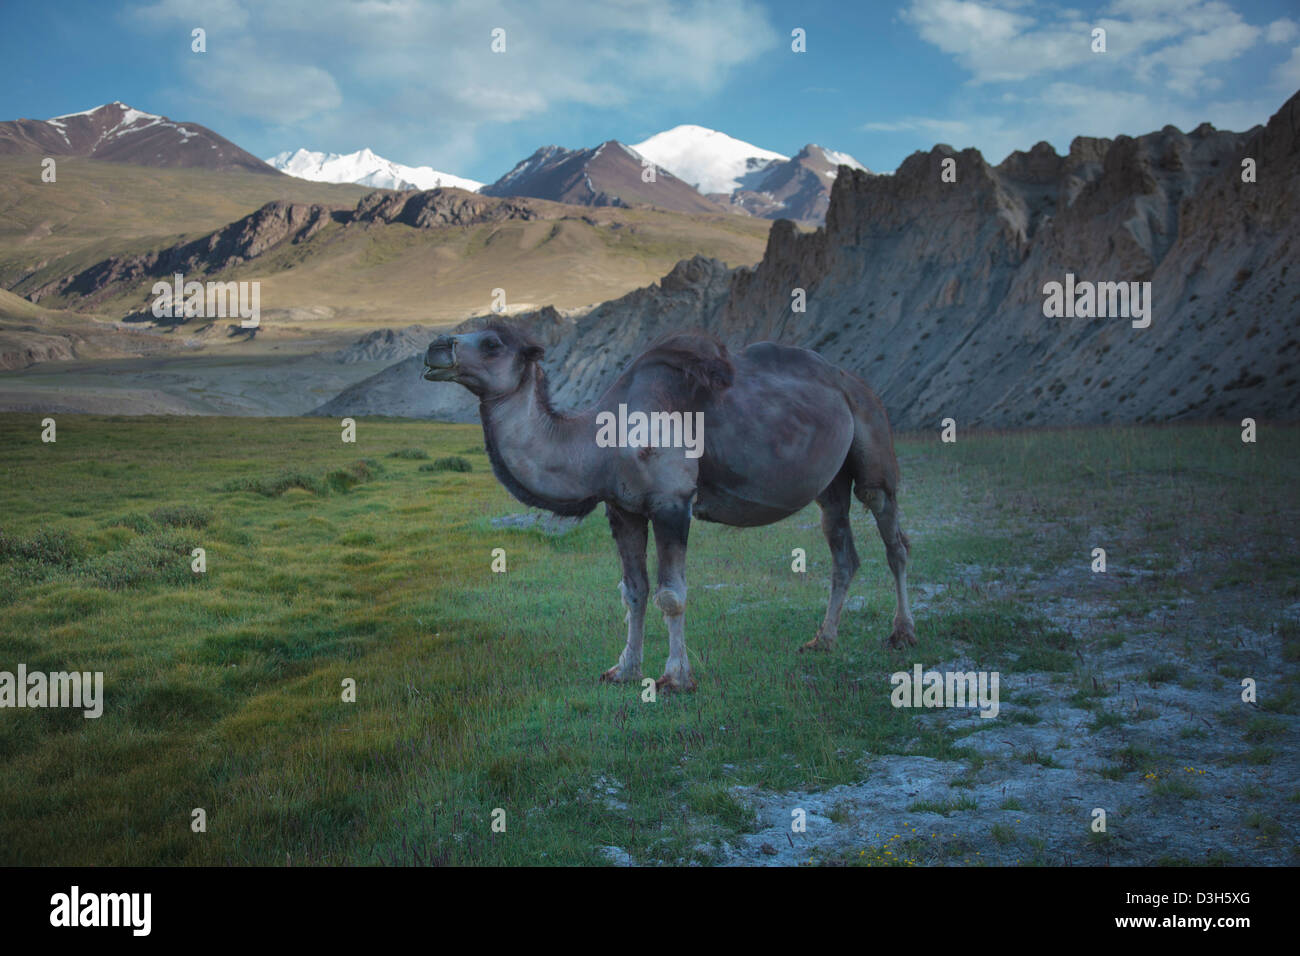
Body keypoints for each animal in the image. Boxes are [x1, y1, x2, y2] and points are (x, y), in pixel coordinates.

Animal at [426, 325, 915, 691]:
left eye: (492, 342)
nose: (435, 349)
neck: (598, 442)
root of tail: (855, 383)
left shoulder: (671, 502)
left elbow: (671, 595)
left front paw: (676, 678)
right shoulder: (621, 509)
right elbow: (633, 591)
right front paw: (623, 669)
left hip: (873, 445)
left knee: (893, 538)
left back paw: (902, 633)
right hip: (830, 483)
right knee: (843, 551)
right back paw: (823, 640)